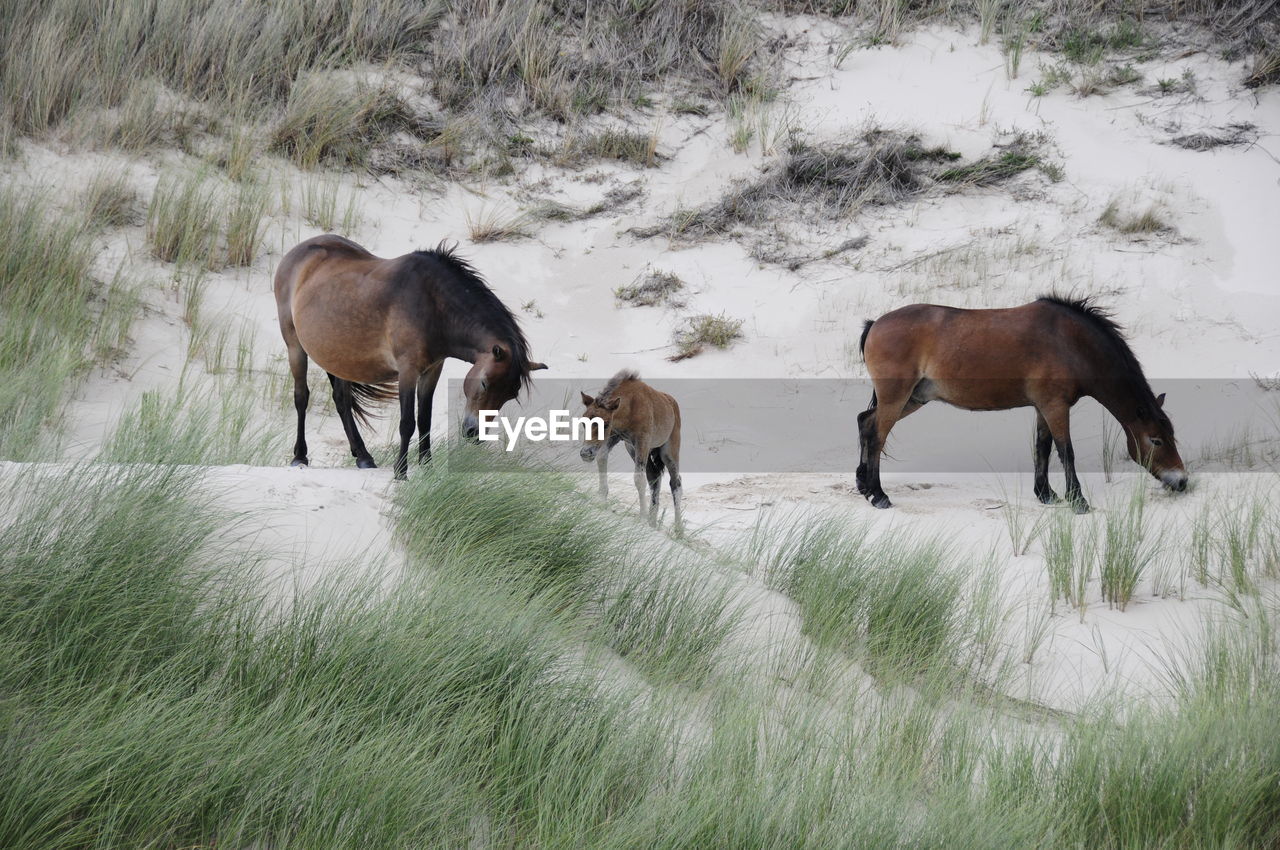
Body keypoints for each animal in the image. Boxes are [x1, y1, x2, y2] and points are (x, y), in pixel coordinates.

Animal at [275, 235, 545, 478]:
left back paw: (363, 457)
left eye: (510, 395)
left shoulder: (432, 369)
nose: (473, 433)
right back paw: (300, 456)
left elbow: (424, 419)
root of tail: (296, 253)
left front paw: (427, 467)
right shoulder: (408, 370)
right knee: (301, 397)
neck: (434, 304)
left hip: (340, 357)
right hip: (295, 346)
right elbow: (407, 423)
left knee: (342, 401)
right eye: (484, 383)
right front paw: (401, 471)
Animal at [578, 371, 680, 532]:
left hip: (669, 452)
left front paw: (642, 518)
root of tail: (672, 404)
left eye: (605, 424)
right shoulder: (614, 437)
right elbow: (601, 459)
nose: (586, 453)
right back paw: (652, 523)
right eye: (583, 422)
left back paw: (678, 530)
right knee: (654, 477)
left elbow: (639, 479)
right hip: (634, 450)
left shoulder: (642, 441)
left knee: (676, 483)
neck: (631, 406)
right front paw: (601, 501)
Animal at [855, 295, 1182, 514]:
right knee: (877, 436)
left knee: (865, 422)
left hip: (913, 398)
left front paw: (1046, 494)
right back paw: (878, 494)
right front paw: (1077, 500)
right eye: (1155, 440)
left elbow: (1042, 448)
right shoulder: (1055, 406)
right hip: (896, 398)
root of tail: (875, 323)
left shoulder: (1043, 407)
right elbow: (1066, 452)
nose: (1181, 481)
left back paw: (863, 485)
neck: (1071, 343)